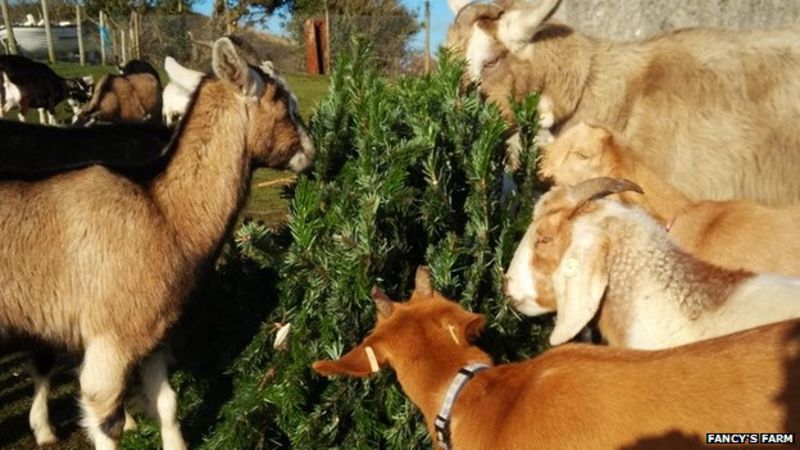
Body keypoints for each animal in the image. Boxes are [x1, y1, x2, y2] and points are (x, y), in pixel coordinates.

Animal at [0, 38, 316, 450]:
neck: (164, 210)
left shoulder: (155, 333)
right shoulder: (111, 340)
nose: (311, 151)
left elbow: (166, 402)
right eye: (286, 104)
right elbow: (106, 420)